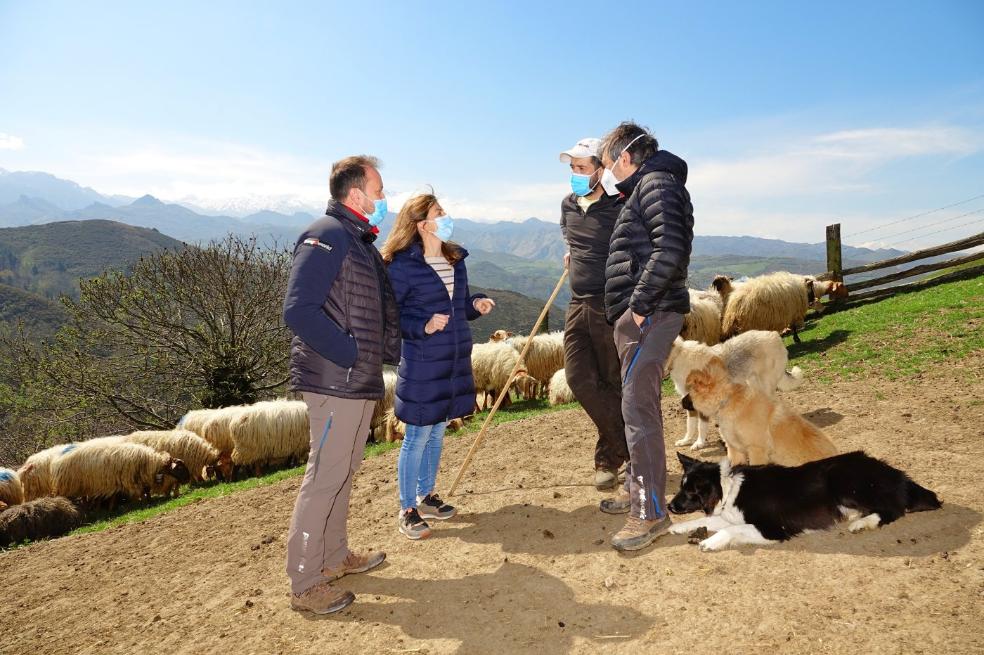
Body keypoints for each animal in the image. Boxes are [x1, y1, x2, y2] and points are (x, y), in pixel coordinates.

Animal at [664, 334, 804, 452]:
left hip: (766, 386)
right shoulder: (689, 402)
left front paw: (699, 444)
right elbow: (690, 425)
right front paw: (686, 441)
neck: (677, 356)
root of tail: (776, 336)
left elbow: (700, 427)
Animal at [664, 452, 940, 552]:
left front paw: (709, 542)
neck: (729, 486)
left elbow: (729, 530)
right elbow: (711, 521)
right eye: (681, 487)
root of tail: (898, 475)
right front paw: (679, 528)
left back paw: (862, 523)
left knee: (894, 509)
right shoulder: (730, 515)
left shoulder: (773, 529)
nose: (669, 506)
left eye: (690, 491)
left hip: (841, 479)